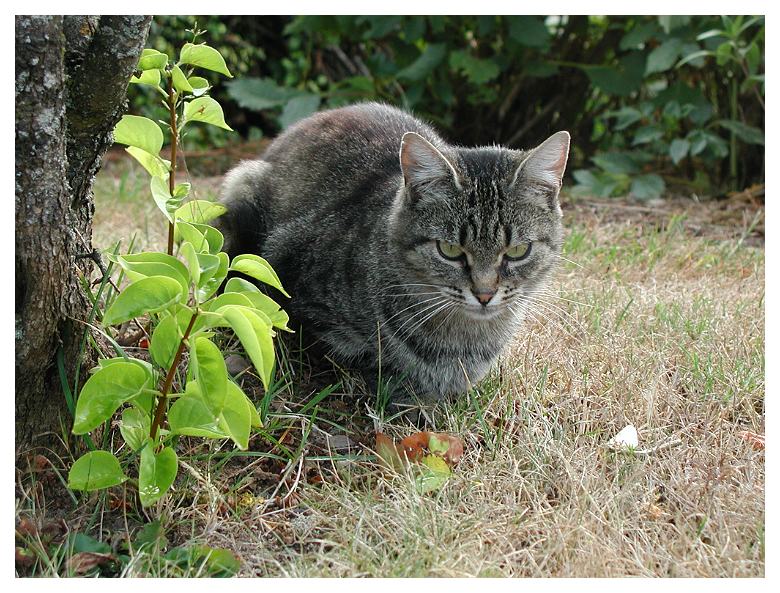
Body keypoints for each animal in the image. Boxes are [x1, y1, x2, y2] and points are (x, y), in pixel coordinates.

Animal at [216, 102, 568, 400]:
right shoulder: (291, 285)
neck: (462, 342)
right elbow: (358, 359)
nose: (484, 294)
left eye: (518, 250)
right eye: (449, 250)